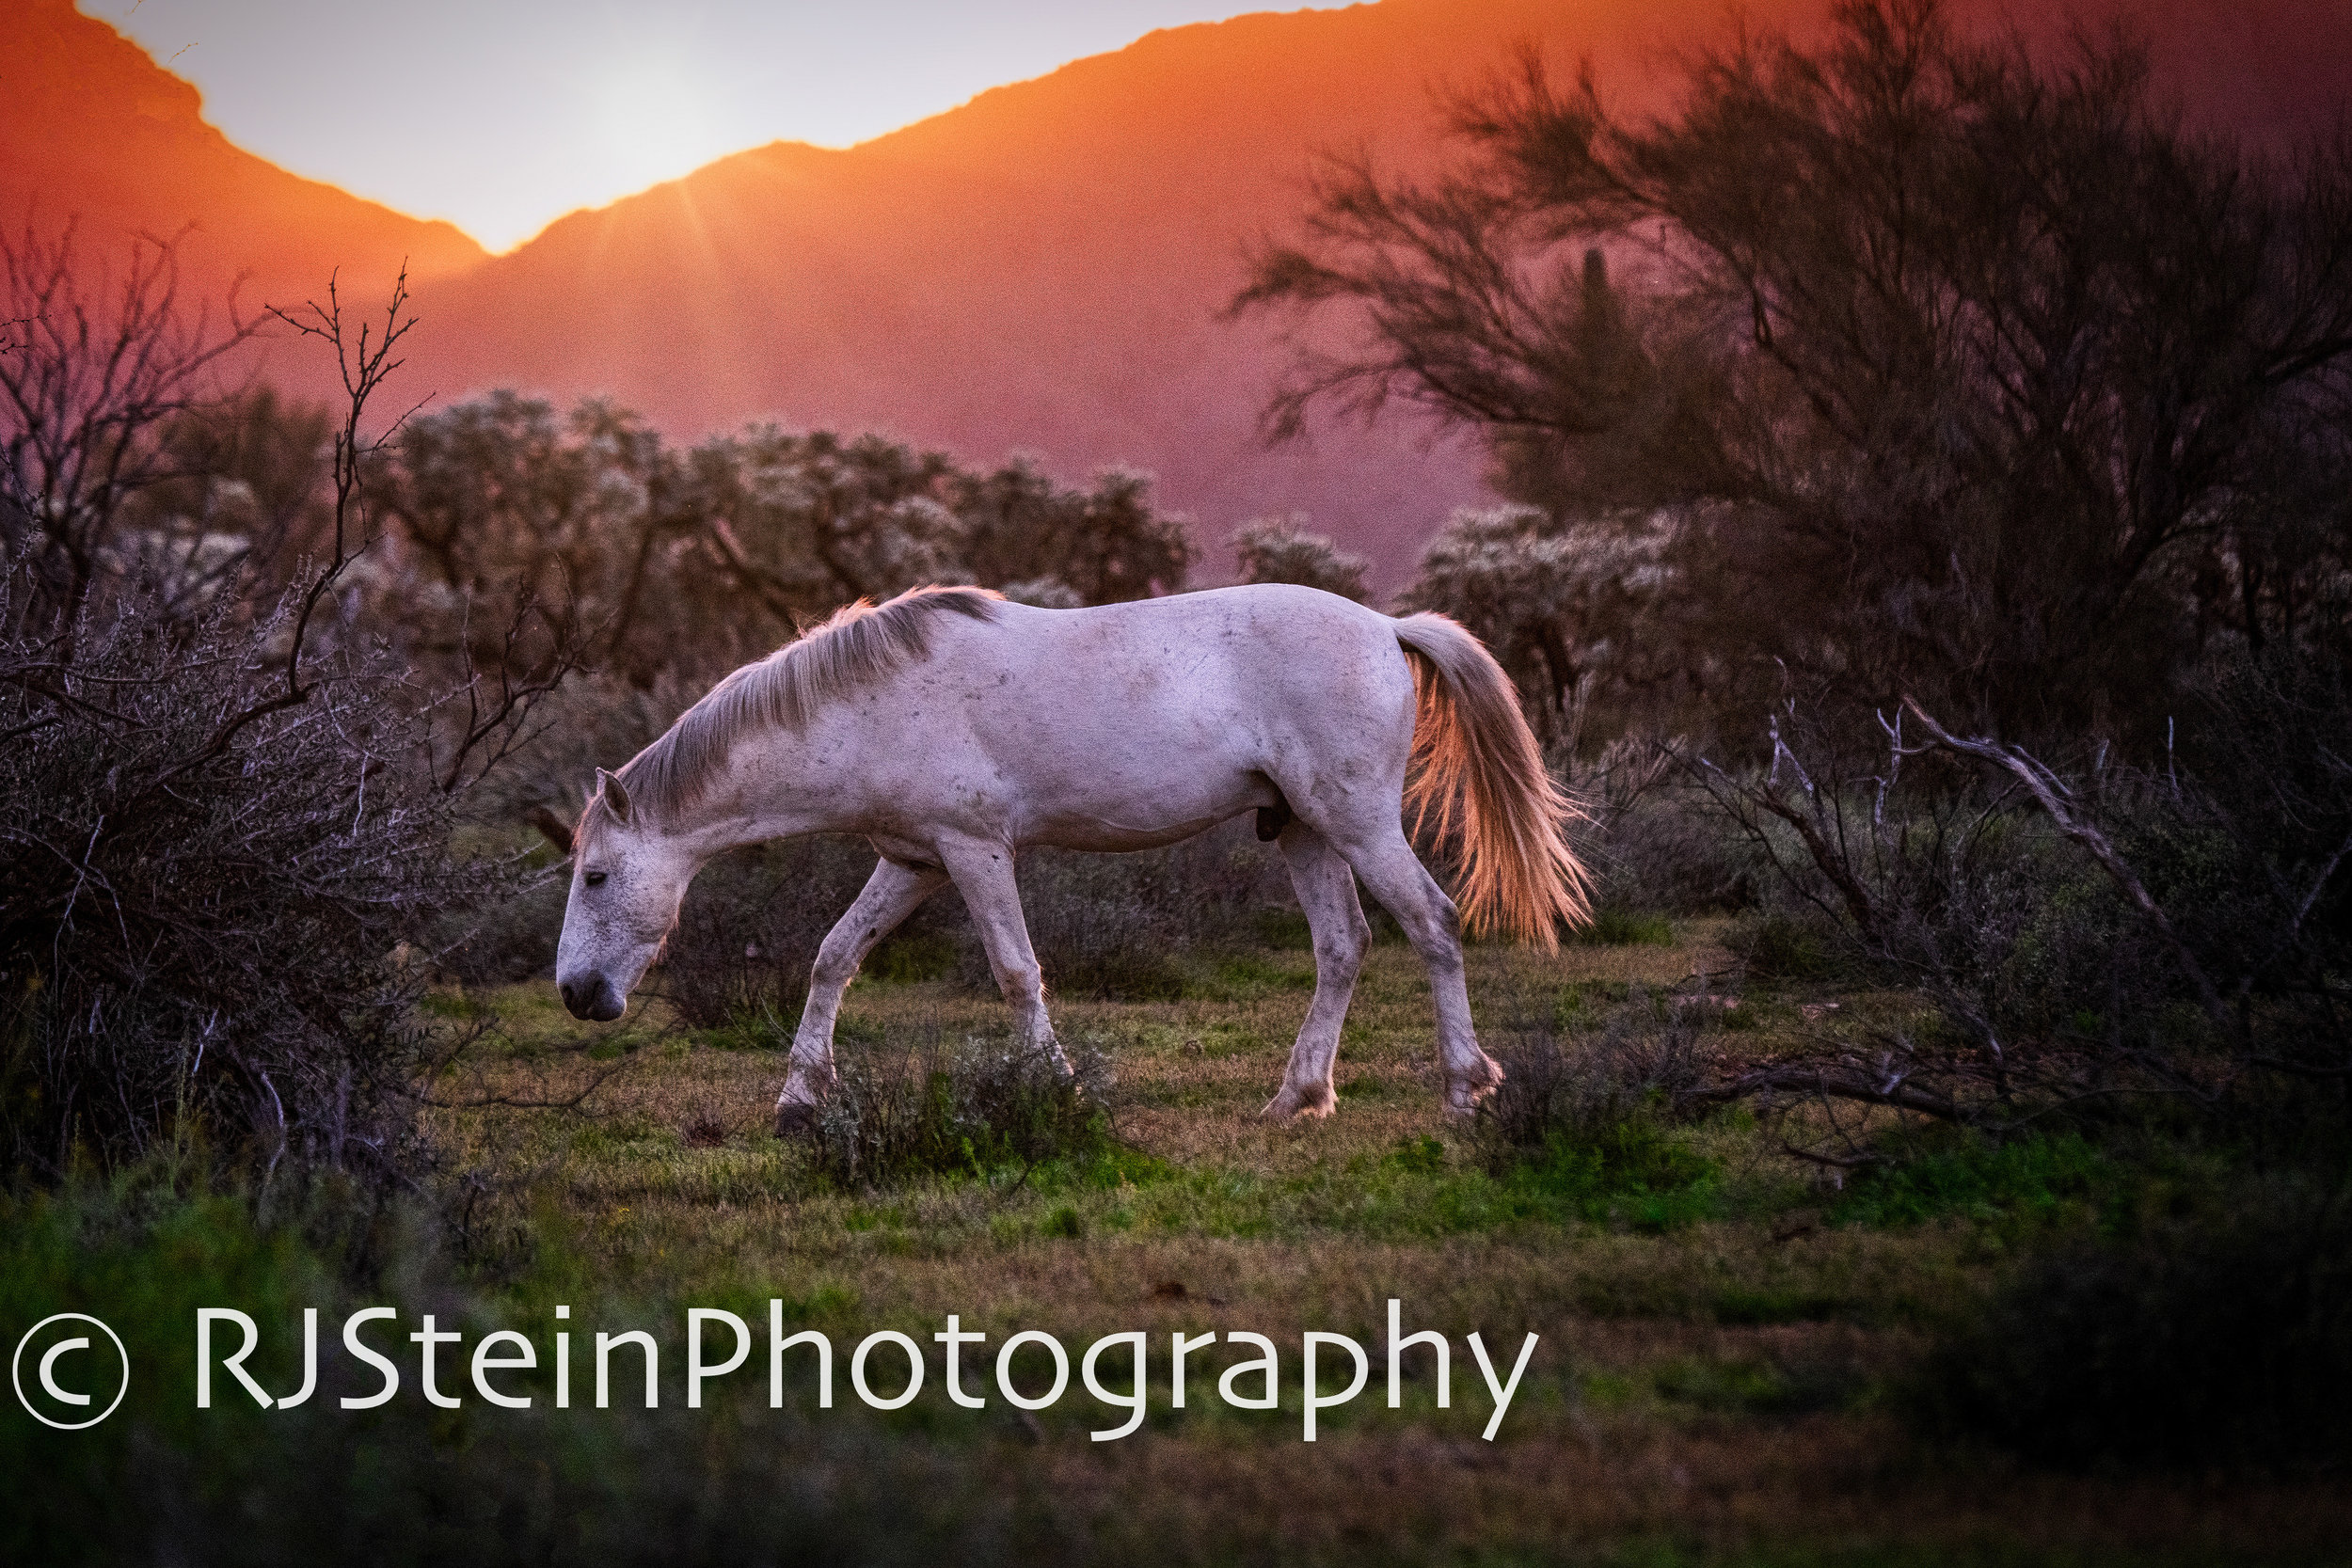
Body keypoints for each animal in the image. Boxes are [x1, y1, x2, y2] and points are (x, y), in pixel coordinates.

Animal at [548, 582, 1581, 1123]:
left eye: (595, 875)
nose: (577, 994)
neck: (875, 701)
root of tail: (1385, 625)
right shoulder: (912, 858)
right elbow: (834, 956)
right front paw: (801, 1095)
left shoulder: (974, 852)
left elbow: (1015, 970)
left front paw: (1054, 1086)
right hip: (1301, 828)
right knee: (1343, 948)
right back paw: (1297, 1095)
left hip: (1358, 820)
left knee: (1433, 924)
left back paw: (1464, 1085)